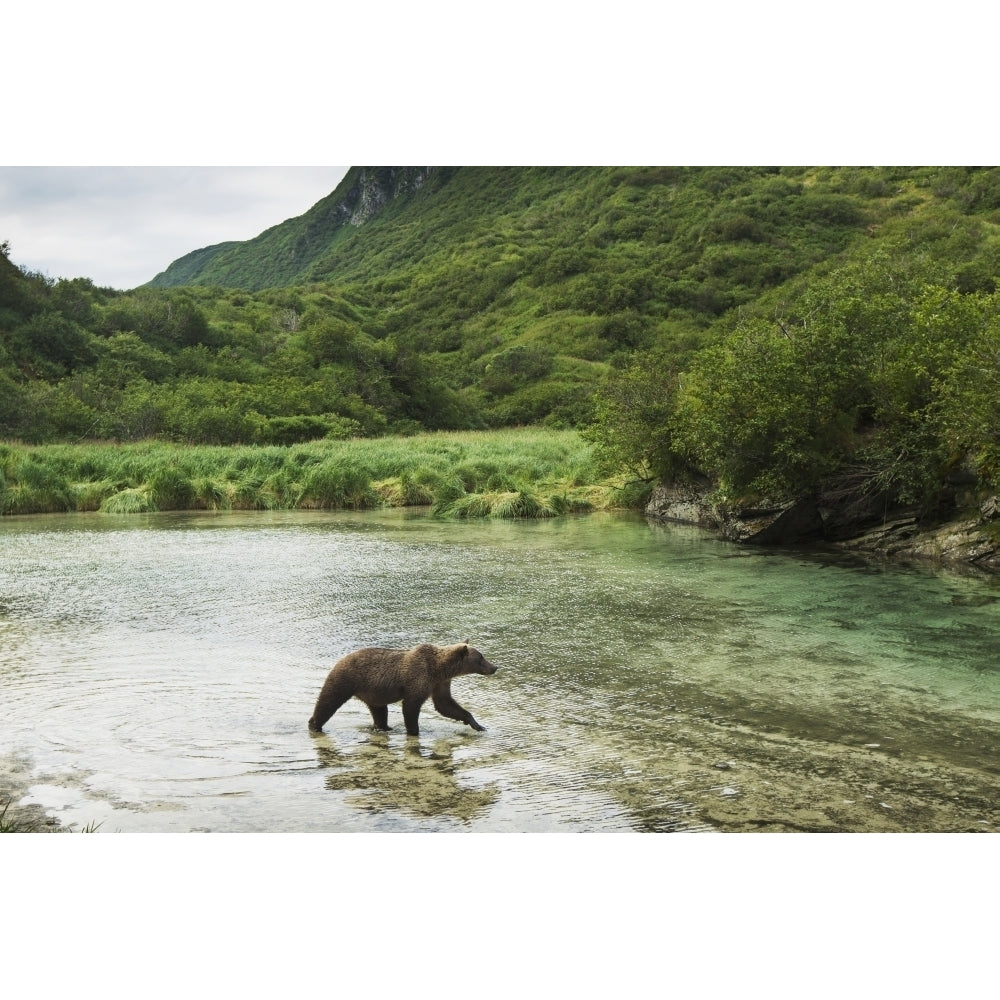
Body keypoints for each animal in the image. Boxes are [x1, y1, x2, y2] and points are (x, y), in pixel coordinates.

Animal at [306, 640, 498, 736]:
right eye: (481, 658)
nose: (494, 667)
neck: (439, 669)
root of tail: (340, 659)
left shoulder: (439, 683)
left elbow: (445, 704)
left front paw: (477, 724)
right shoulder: (418, 678)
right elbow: (411, 706)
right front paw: (414, 731)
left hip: (373, 693)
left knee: (380, 712)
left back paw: (384, 727)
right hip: (346, 678)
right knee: (328, 700)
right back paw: (315, 725)